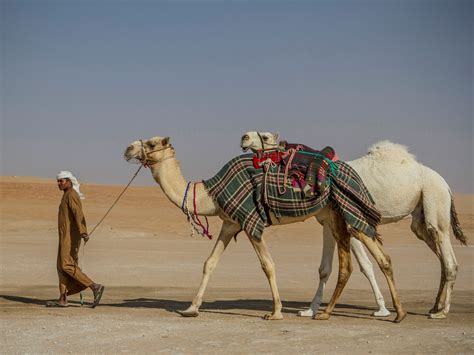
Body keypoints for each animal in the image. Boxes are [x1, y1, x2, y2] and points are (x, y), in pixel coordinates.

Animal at [123, 136, 408, 322]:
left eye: (152, 143)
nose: (127, 148)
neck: (210, 193)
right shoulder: (230, 223)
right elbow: (209, 263)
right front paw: (191, 308)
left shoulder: (251, 221)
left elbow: (267, 265)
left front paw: (276, 312)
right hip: (334, 214)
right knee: (363, 261)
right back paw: (338, 313)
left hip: (347, 210)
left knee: (373, 256)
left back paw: (393, 313)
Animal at [241, 131, 466, 320]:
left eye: (265, 137)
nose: (244, 138)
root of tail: (446, 185)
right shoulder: (327, 222)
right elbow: (325, 269)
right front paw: (309, 310)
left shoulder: (350, 220)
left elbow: (365, 265)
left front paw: (382, 309)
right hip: (420, 220)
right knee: (439, 256)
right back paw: (435, 306)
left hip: (435, 199)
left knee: (448, 259)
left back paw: (442, 312)